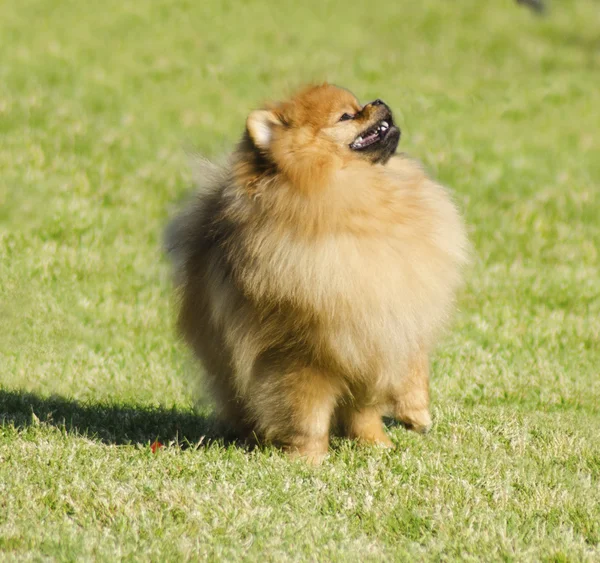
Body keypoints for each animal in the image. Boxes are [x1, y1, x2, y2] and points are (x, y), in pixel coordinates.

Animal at [165, 83, 468, 462]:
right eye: (346, 116)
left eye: (358, 104)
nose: (378, 101)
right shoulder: (300, 353)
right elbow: (306, 409)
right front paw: (310, 459)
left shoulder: (393, 315)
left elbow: (411, 369)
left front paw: (415, 415)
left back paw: (377, 443)